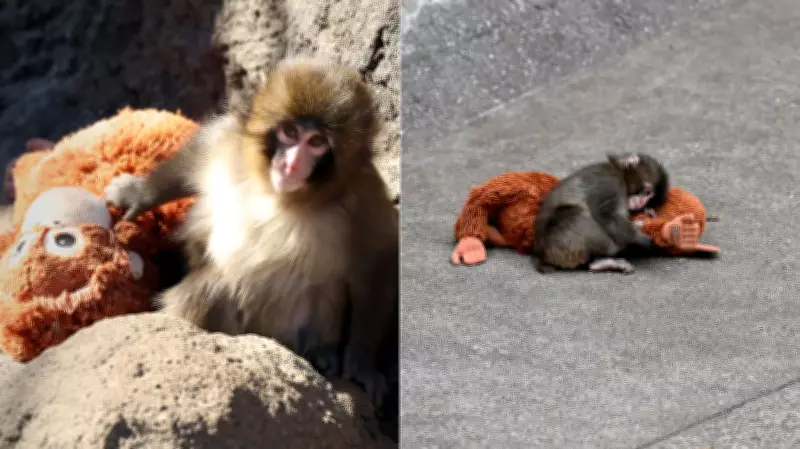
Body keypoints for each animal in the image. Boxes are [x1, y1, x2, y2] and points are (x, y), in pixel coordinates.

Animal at [102, 57, 398, 405]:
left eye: (316, 142)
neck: (280, 195)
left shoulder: (363, 197)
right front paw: (139, 194)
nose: (291, 164)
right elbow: (198, 154)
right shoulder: (230, 145)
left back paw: (322, 354)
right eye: (289, 132)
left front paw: (362, 362)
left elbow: (377, 262)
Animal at [532, 153, 669, 274]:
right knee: (575, 215)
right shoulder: (609, 184)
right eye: (647, 192)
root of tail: (542, 256)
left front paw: (648, 211)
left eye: (650, 199)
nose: (642, 203)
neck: (620, 176)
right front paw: (639, 238)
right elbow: (606, 215)